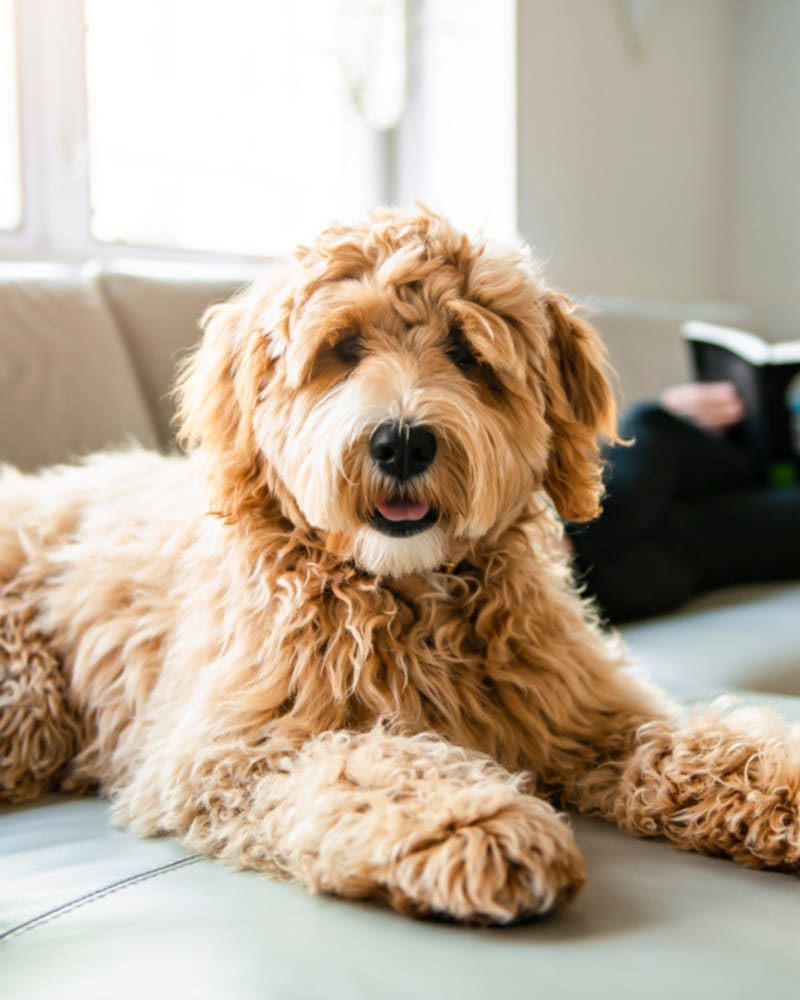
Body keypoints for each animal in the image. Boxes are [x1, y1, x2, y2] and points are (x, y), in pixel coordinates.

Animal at [1, 209, 800, 920]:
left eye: (468, 353)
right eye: (344, 347)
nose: (403, 443)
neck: (406, 592)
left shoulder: (587, 715)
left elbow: (694, 741)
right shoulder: (228, 754)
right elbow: (364, 762)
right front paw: (473, 822)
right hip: (28, 701)